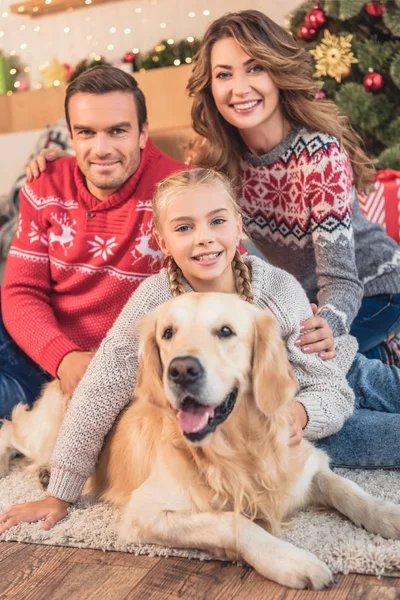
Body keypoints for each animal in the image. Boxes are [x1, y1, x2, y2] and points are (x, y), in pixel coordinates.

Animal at [0, 292, 400, 588]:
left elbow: (349, 489)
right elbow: (232, 523)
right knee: (11, 425)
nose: (181, 370)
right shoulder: (143, 513)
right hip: (46, 429)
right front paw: (291, 560)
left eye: (225, 331)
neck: (237, 447)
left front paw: (388, 514)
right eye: (167, 333)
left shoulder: (303, 463)